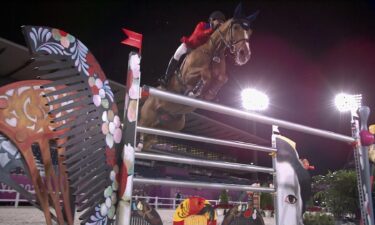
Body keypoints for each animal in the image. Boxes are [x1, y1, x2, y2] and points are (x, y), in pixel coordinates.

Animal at [138, 3, 258, 149]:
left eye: (250, 32)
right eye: (235, 27)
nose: (244, 55)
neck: (214, 52)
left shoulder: (220, 76)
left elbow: (222, 79)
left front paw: (210, 94)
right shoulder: (188, 75)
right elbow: (205, 74)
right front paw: (194, 91)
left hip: (171, 125)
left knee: (150, 138)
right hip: (146, 118)